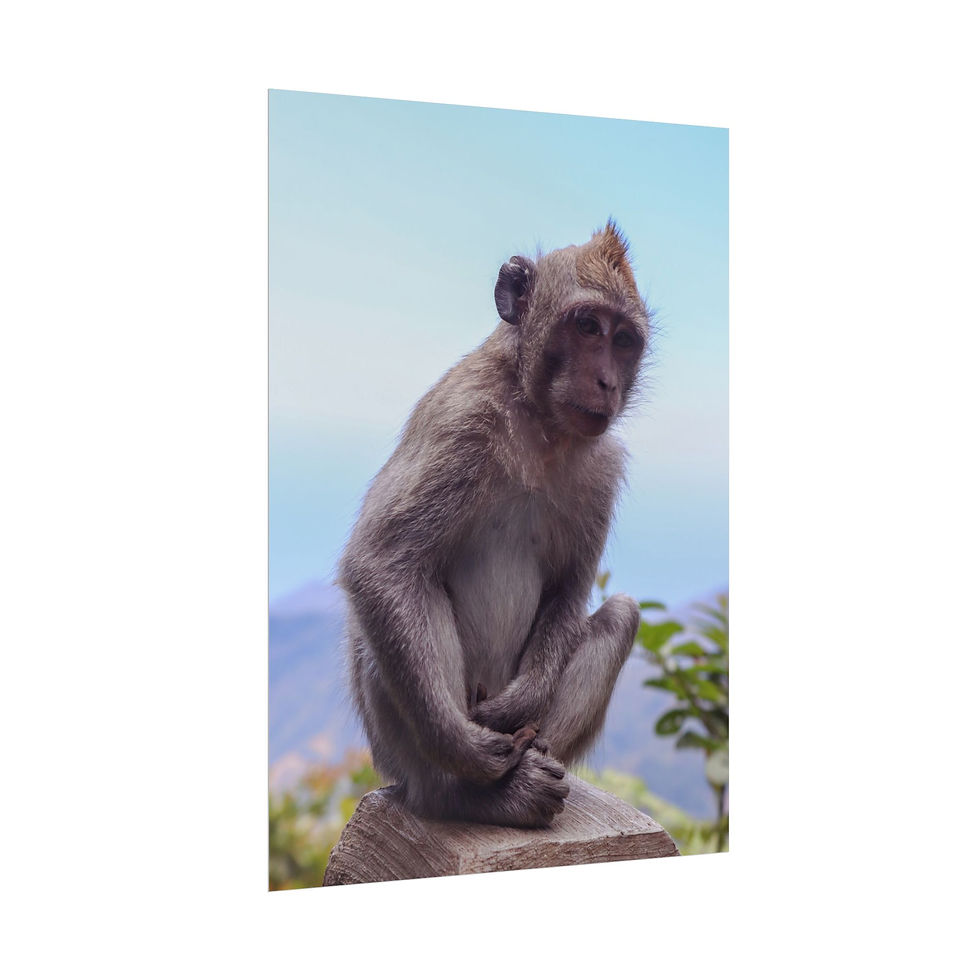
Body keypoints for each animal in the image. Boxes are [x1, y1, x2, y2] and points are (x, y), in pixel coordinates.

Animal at [338, 221, 650, 828]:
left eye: (624, 340)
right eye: (587, 326)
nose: (606, 382)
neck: (540, 423)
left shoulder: (601, 470)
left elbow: (567, 588)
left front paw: (519, 704)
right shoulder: (461, 423)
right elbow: (380, 563)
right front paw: (465, 747)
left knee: (621, 615)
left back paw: (534, 764)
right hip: (397, 754)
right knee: (408, 596)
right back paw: (472, 792)